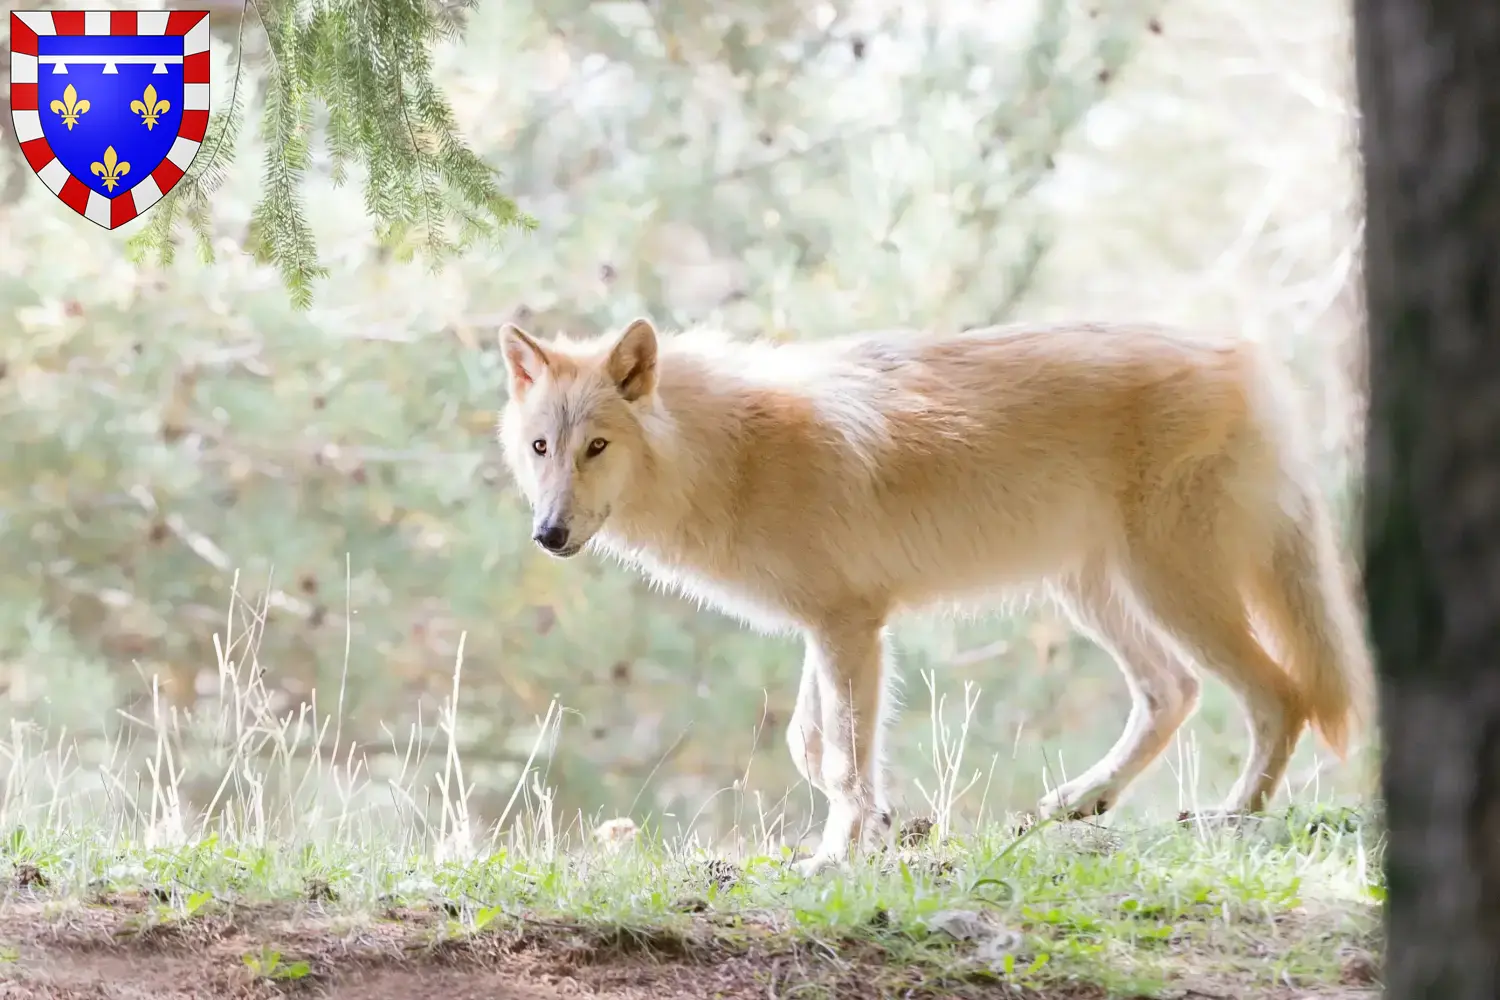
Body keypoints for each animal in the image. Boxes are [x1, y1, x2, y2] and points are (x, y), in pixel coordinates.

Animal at [498, 316, 1374, 869]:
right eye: (542, 448)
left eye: (596, 447)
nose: (547, 533)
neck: (735, 452)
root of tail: (1248, 360)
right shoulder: (829, 627)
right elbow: (812, 747)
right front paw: (881, 828)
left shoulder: (851, 626)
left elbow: (843, 755)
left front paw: (833, 857)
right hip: (1094, 592)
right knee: (1175, 691)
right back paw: (1082, 801)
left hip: (1169, 591)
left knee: (1281, 695)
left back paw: (1232, 817)